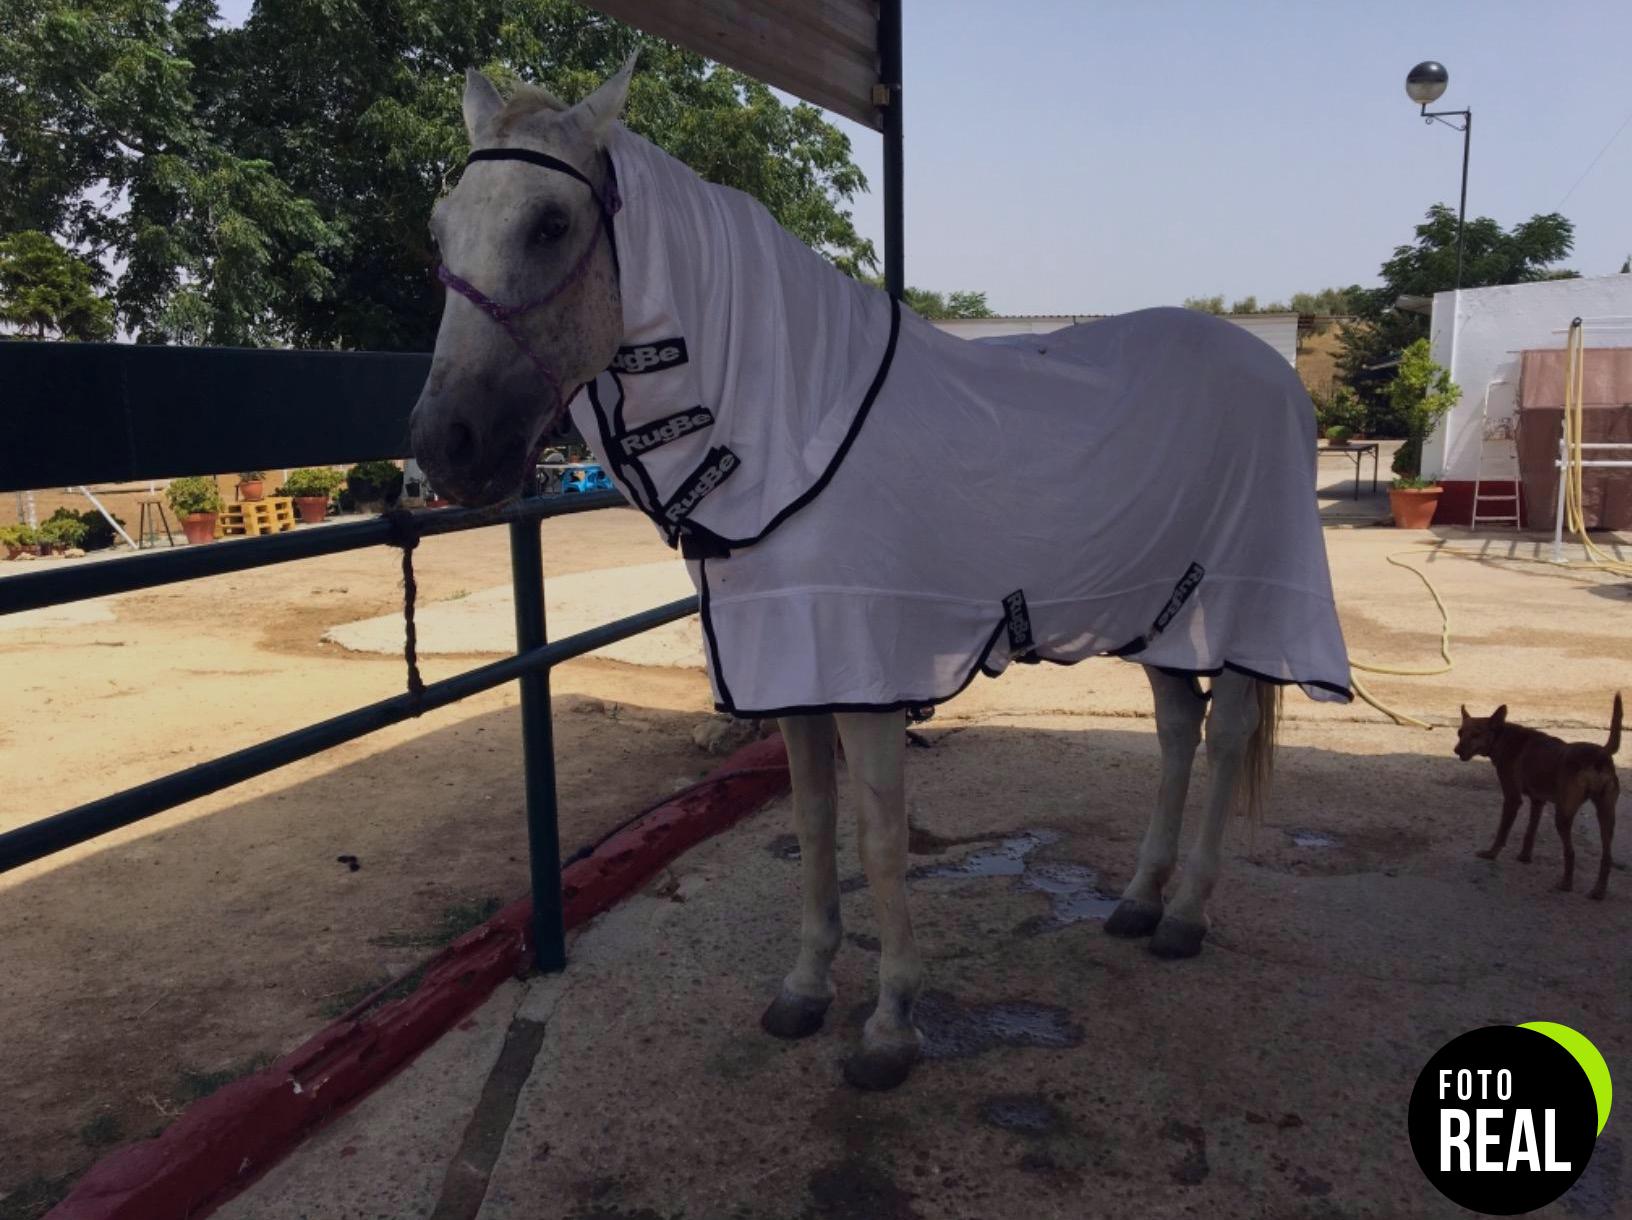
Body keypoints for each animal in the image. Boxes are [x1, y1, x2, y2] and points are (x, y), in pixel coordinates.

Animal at [410, 60, 1352, 1091]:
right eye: (440, 229)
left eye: (549, 223)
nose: (446, 446)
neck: (790, 419)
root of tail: (1276, 376)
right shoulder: (794, 671)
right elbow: (815, 823)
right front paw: (806, 989)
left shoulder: (862, 674)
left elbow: (879, 840)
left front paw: (891, 1025)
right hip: (1160, 614)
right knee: (1179, 731)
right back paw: (1140, 900)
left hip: (1243, 607)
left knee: (1223, 741)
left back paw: (1184, 915)